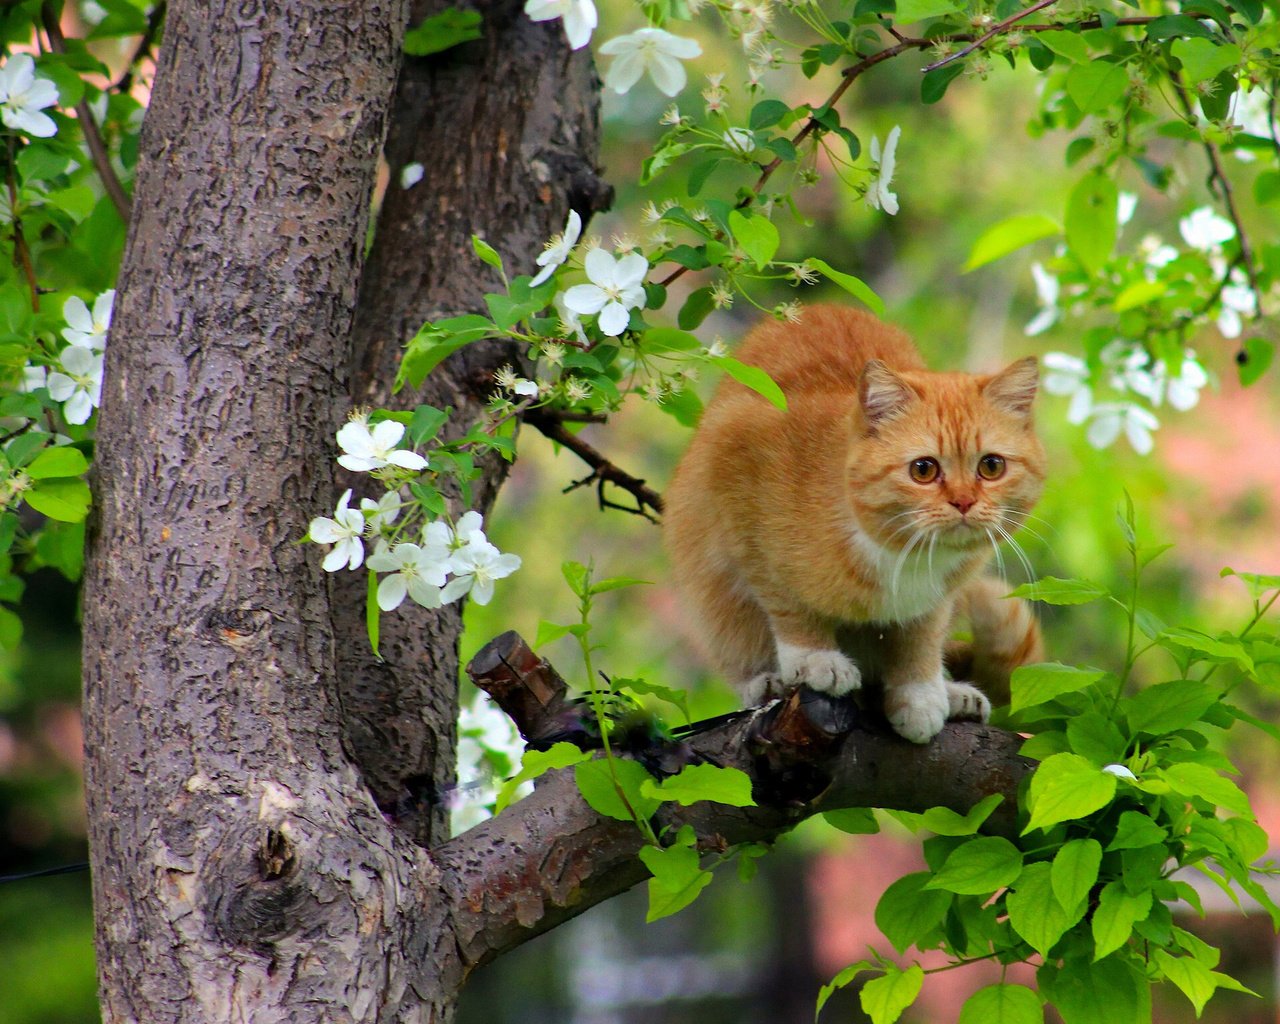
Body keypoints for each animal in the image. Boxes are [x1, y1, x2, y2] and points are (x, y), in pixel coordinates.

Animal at [665, 304, 1044, 742]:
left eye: (991, 466)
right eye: (924, 470)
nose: (964, 501)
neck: (902, 555)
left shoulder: (941, 596)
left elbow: (923, 634)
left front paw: (921, 691)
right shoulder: (737, 475)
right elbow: (786, 598)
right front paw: (815, 657)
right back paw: (767, 681)